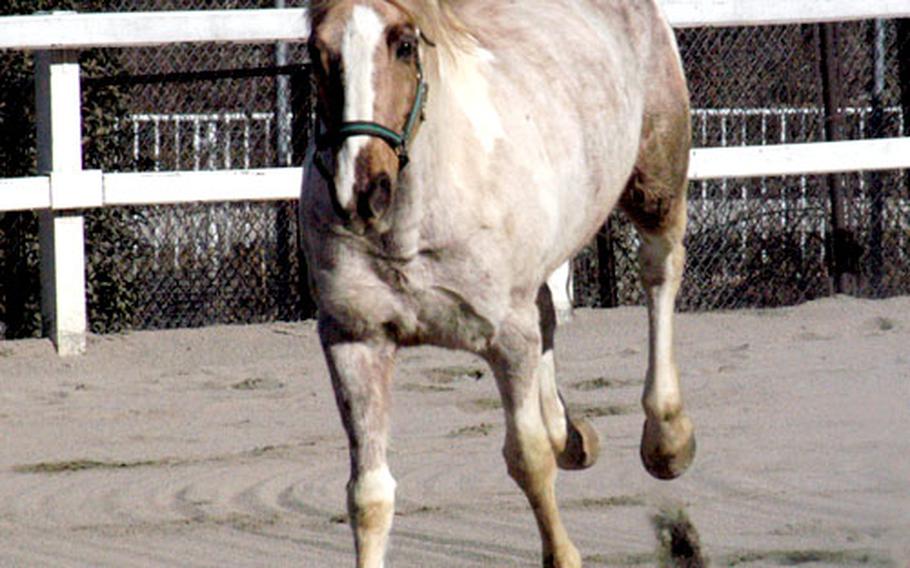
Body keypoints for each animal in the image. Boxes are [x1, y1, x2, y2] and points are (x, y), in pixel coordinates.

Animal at [302, 2, 696, 564]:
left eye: (404, 45)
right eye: (317, 52)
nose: (362, 190)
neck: (412, 227)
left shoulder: (507, 338)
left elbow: (528, 459)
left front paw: (564, 553)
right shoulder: (355, 341)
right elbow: (369, 496)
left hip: (657, 183)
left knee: (659, 273)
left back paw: (667, 438)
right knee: (550, 312)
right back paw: (573, 435)